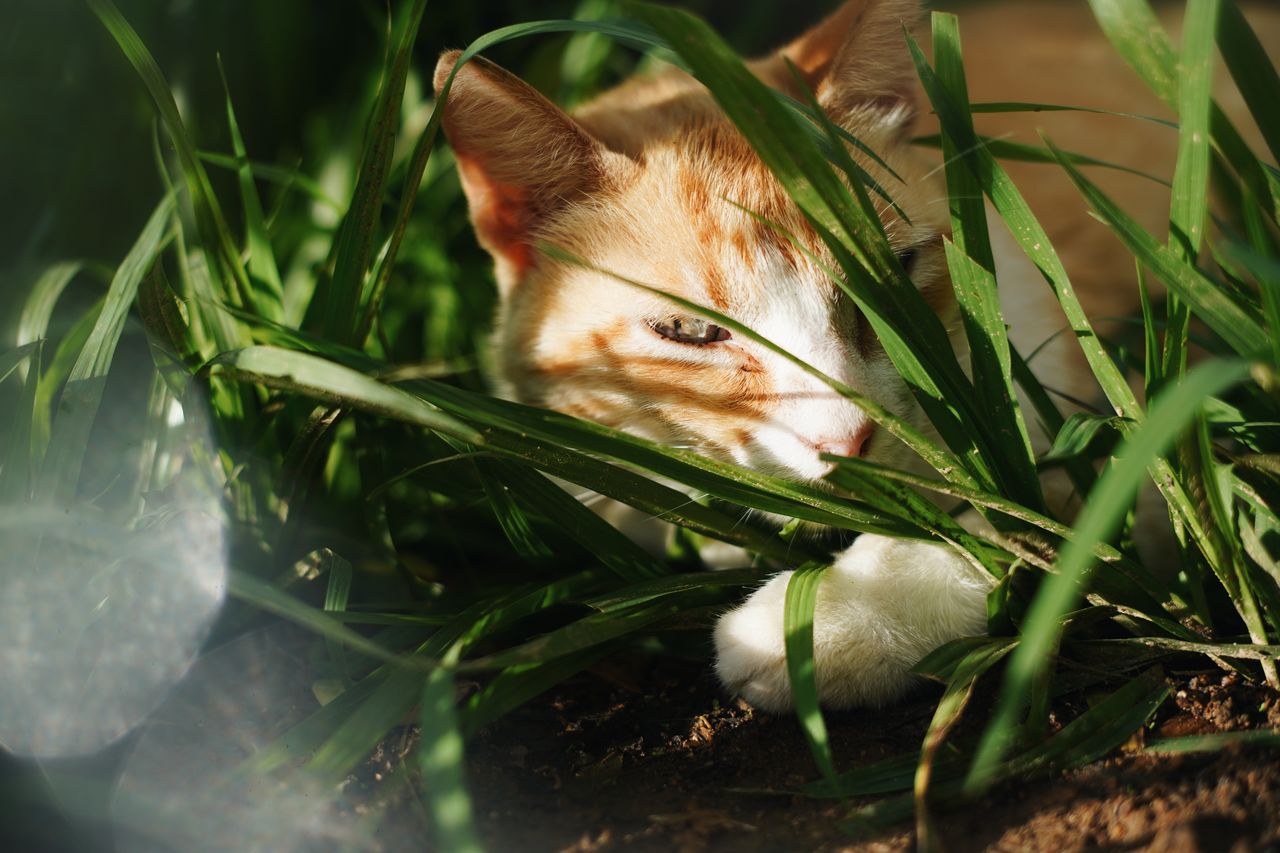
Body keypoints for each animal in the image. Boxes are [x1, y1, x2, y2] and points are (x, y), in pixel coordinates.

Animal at [435, 0, 1280, 701]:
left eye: (894, 279)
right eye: (689, 332)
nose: (846, 439)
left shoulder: (1144, 428)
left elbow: (1026, 526)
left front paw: (822, 623)